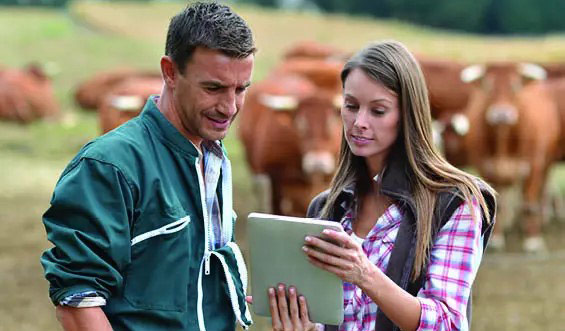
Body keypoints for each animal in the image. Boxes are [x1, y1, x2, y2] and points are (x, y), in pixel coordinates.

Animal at [458, 62, 560, 253]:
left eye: (515, 86)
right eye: (489, 86)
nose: (501, 114)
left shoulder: (532, 167)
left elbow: (529, 203)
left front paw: (533, 240)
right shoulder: (487, 169)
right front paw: (497, 239)